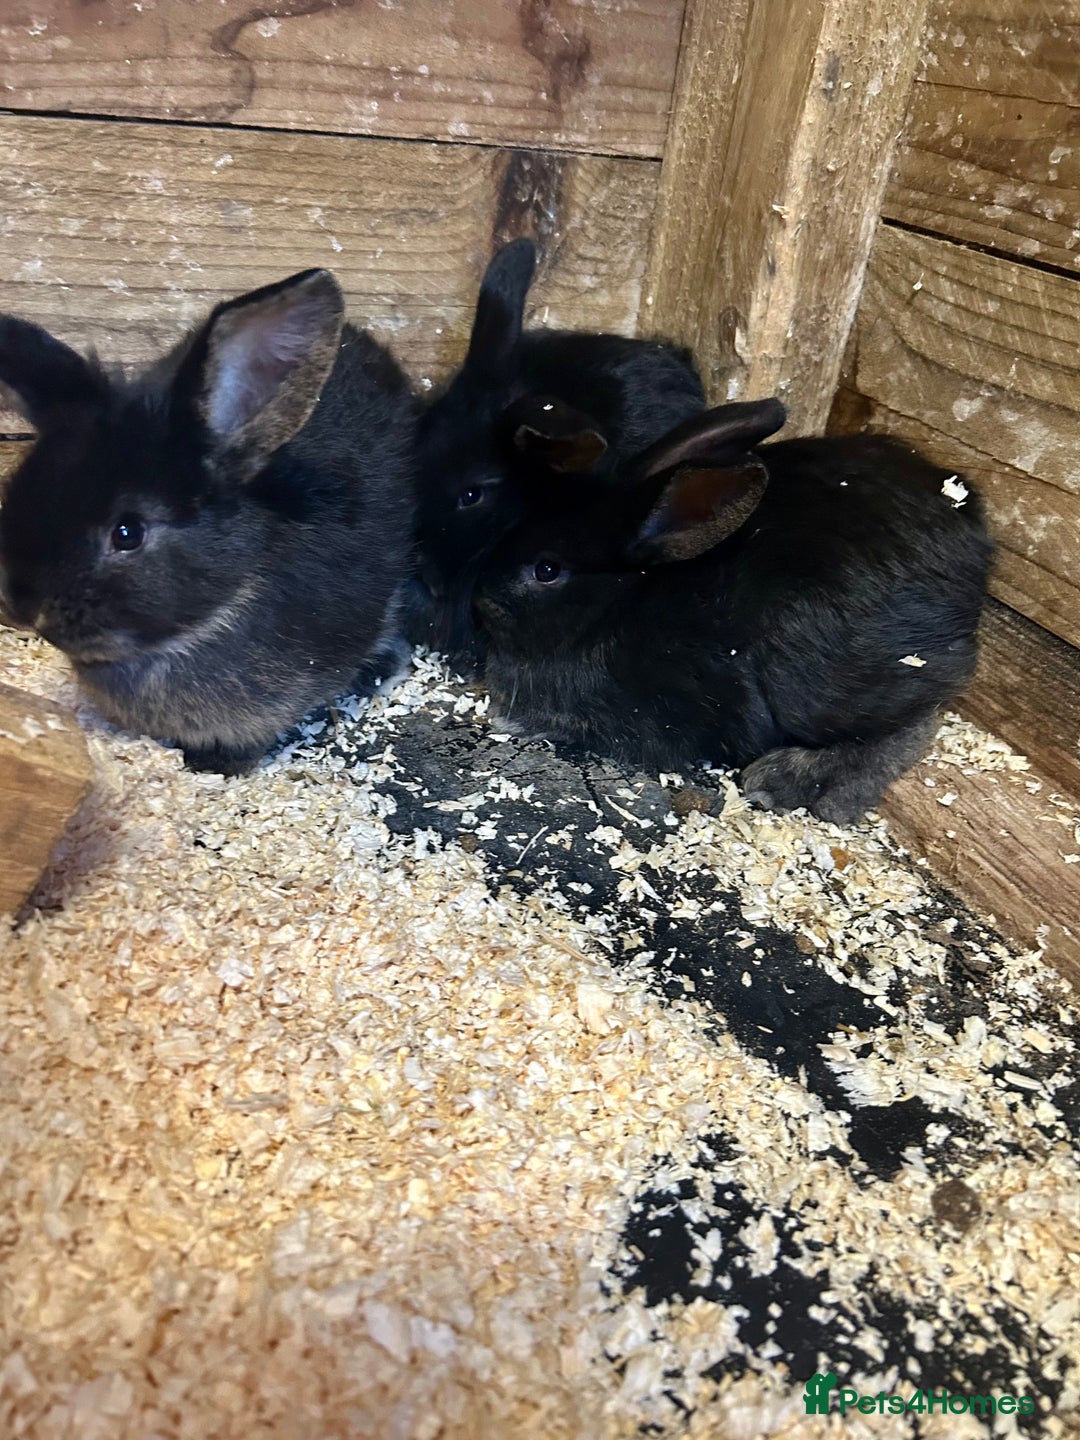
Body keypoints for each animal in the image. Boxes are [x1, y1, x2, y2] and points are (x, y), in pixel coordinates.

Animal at [471, 399, 993, 824]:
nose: (480, 599)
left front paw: (511, 718)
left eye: (546, 570)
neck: (617, 603)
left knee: (910, 724)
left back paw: (785, 783)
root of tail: (974, 551)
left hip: (817, 684)